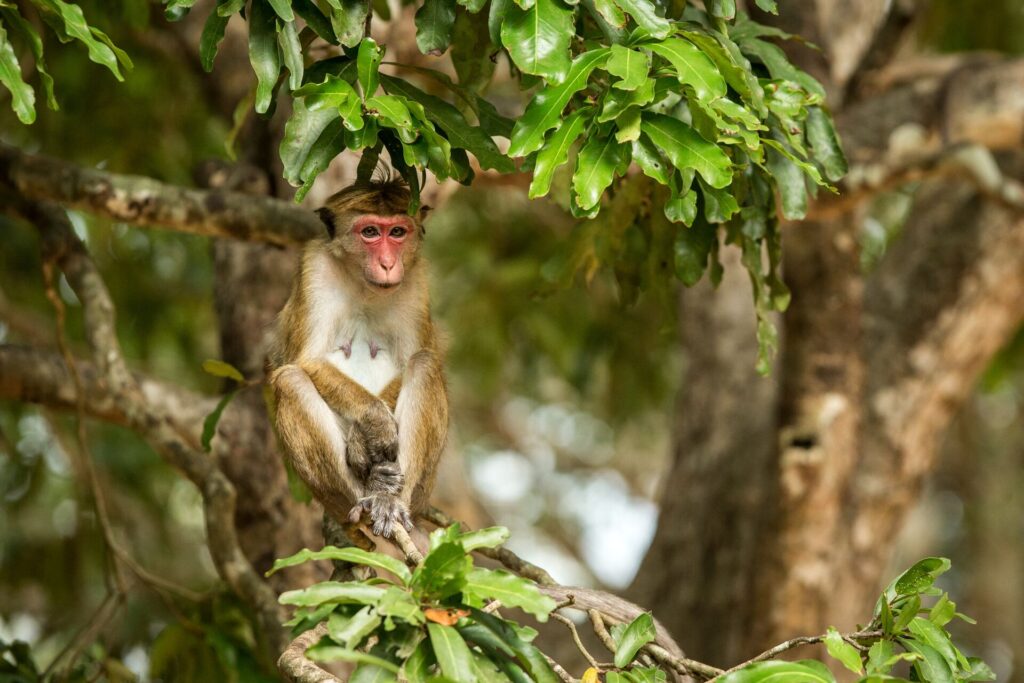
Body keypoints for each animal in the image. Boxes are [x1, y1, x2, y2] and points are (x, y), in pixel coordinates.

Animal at [267, 176, 448, 538]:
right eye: (370, 232)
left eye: (397, 232)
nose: (388, 264)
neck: (366, 286)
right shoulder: (314, 269)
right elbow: (307, 360)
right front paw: (372, 425)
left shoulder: (416, 281)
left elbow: (413, 358)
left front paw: (365, 436)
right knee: (289, 380)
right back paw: (362, 501)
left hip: (424, 489)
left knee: (424, 363)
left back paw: (391, 501)